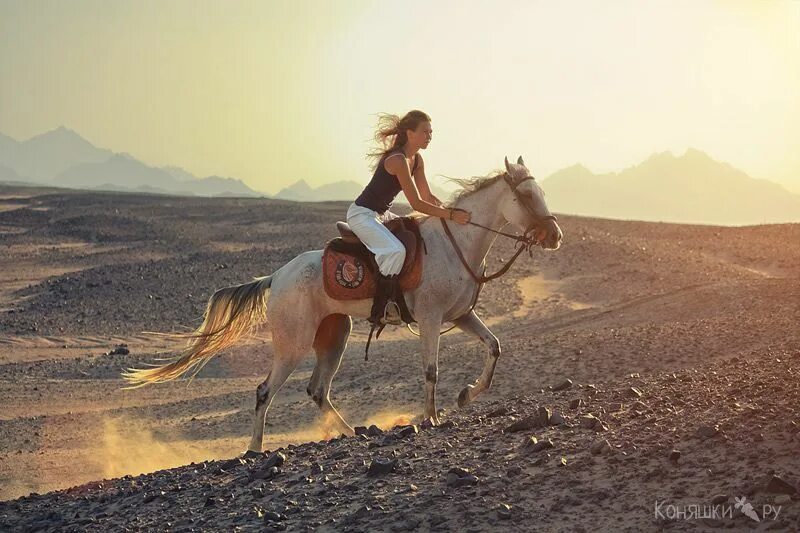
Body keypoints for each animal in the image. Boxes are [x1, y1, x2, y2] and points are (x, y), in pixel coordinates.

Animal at [123, 156, 564, 450]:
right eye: (527, 195)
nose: (556, 236)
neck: (457, 244)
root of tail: (275, 278)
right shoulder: (431, 318)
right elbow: (431, 371)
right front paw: (432, 417)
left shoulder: (462, 315)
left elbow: (494, 346)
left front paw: (466, 395)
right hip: (294, 343)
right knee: (265, 391)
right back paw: (254, 449)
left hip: (335, 335)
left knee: (318, 390)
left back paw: (351, 432)